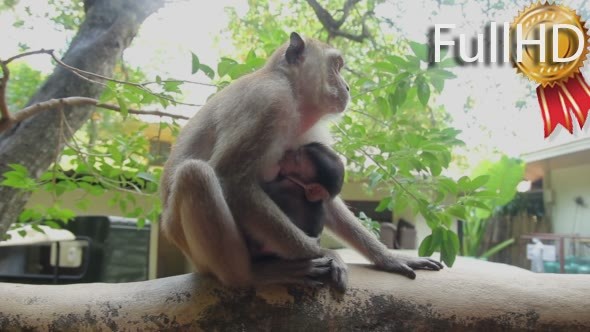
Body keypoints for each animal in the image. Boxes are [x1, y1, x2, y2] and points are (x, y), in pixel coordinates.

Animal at [162, 32, 444, 290]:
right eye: (336, 66)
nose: (347, 88)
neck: (291, 91)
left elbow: (325, 195)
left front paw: (388, 257)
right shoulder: (267, 102)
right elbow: (231, 179)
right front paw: (326, 253)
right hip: (200, 257)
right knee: (195, 174)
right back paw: (253, 276)